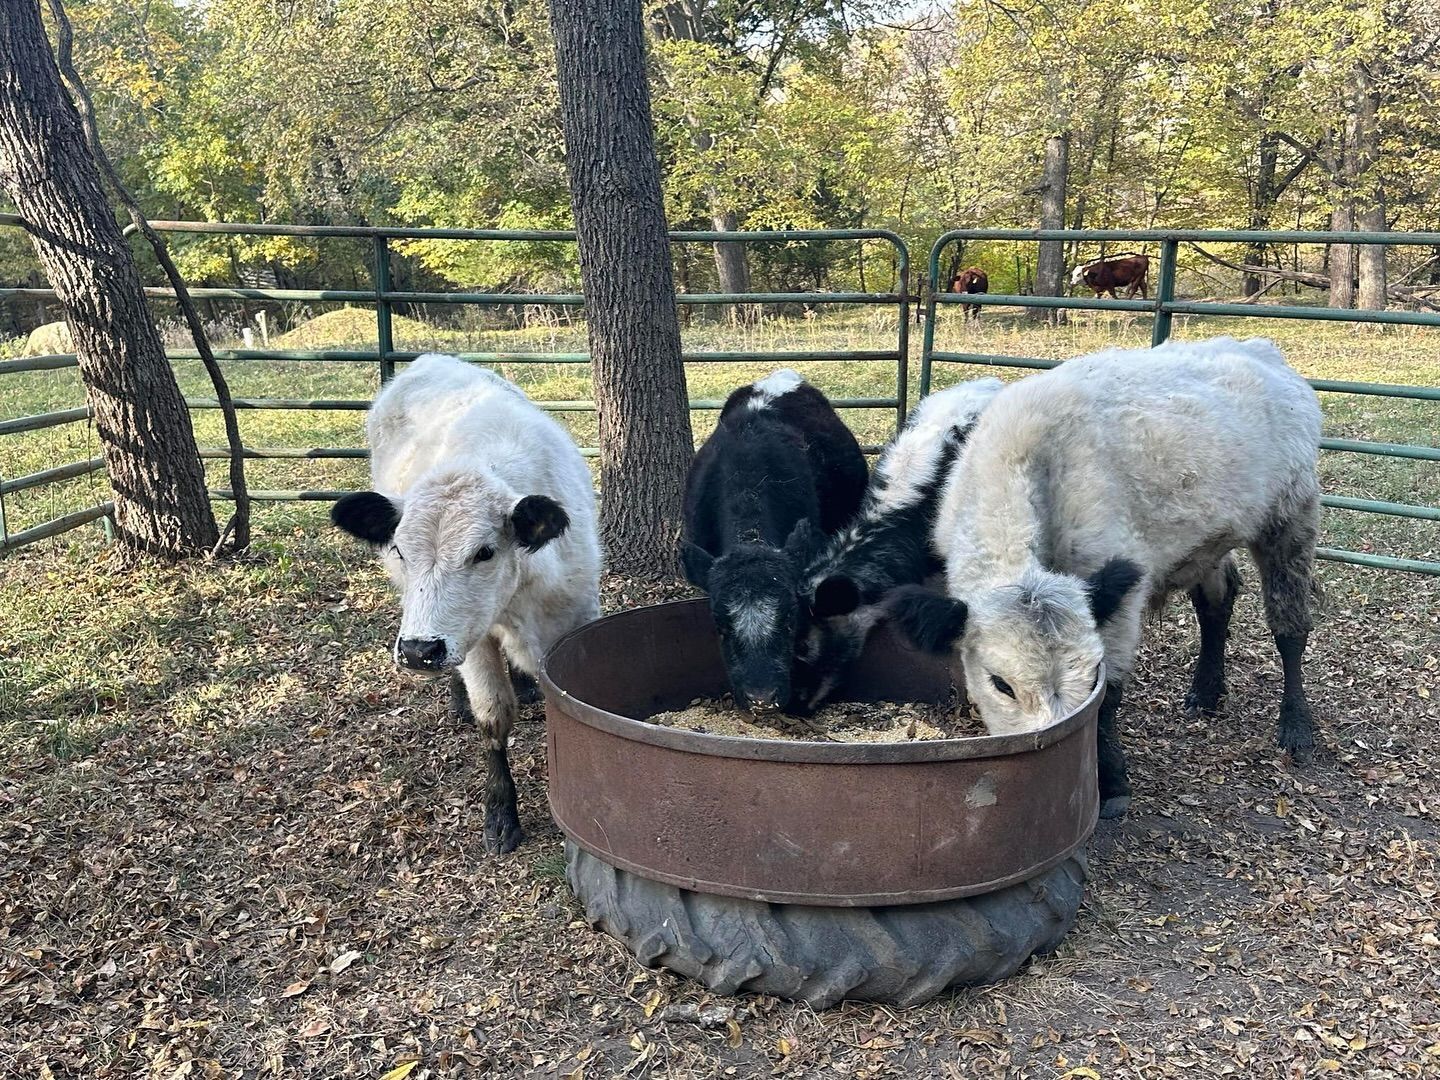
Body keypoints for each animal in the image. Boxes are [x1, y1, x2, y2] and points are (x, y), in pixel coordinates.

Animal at [330, 354, 601, 855]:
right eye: (400, 550)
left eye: (484, 552)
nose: (418, 651)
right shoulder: (473, 642)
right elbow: (493, 717)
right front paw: (501, 815)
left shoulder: (578, 615)